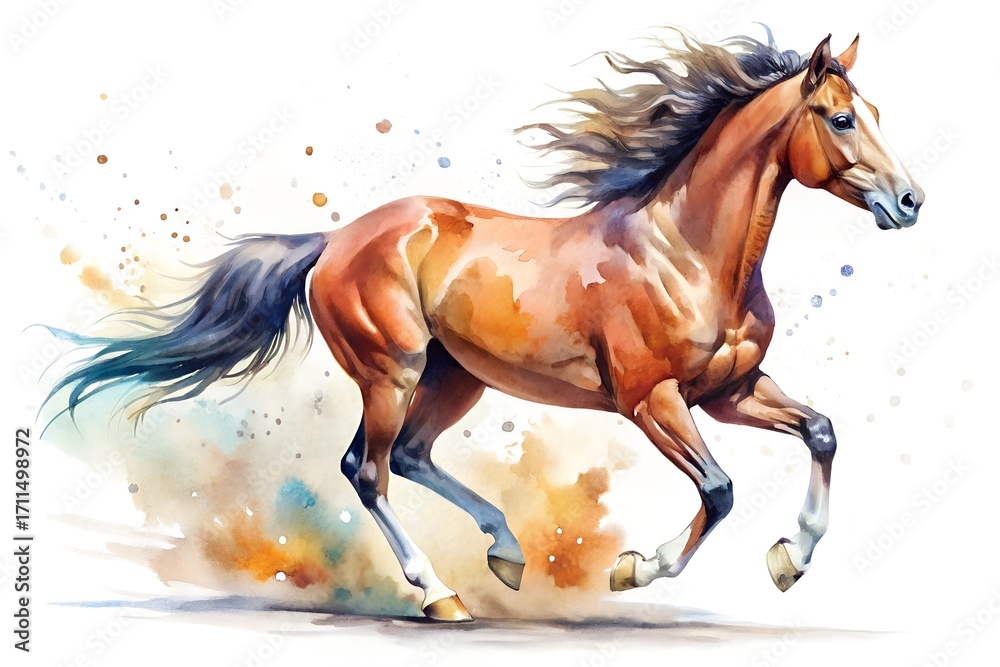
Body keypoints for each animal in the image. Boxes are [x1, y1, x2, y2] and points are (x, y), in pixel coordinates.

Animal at [43, 29, 922, 622]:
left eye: (877, 110)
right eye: (841, 119)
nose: (911, 201)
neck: (687, 252)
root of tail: (335, 241)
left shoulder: (731, 390)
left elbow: (821, 431)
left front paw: (790, 559)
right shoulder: (653, 400)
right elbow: (720, 488)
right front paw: (636, 569)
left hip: (454, 374)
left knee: (411, 454)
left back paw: (505, 552)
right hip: (392, 369)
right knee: (368, 467)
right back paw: (441, 594)